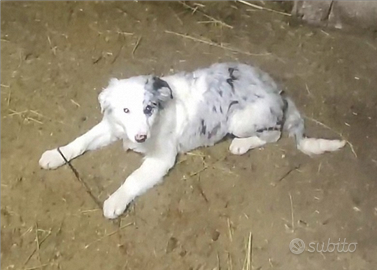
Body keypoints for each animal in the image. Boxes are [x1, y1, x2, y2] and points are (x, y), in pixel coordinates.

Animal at [38, 63, 344, 219]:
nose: (140, 137)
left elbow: (133, 179)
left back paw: (242, 144)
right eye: (126, 110)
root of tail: (279, 93)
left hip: (239, 121)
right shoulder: (112, 127)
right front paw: (55, 154)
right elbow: (81, 140)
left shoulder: (161, 159)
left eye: (148, 109)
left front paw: (116, 201)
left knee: (274, 133)